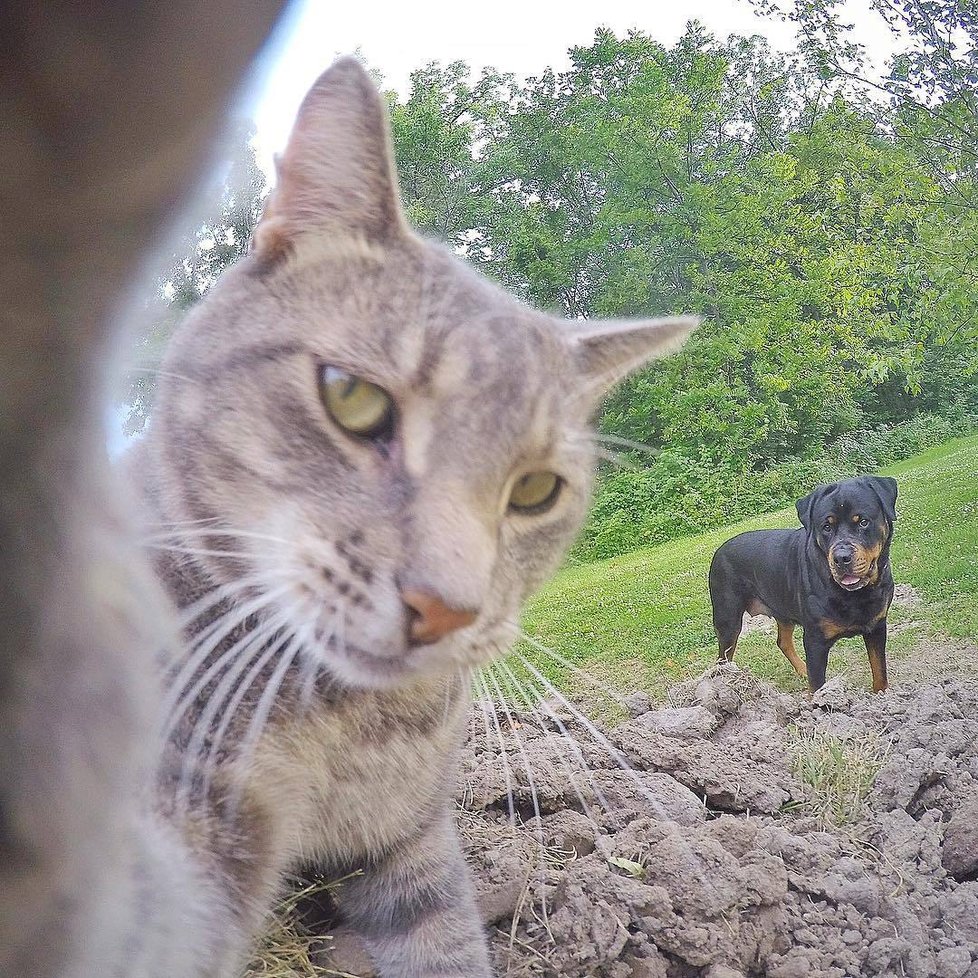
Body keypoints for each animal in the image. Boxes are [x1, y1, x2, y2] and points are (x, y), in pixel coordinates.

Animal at [704, 470, 896, 688]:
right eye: (826, 527)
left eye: (863, 522)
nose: (841, 557)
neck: (854, 595)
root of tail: (719, 550)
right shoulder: (815, 641)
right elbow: (817, 684)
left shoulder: (877, 627)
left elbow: (880, 672)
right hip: (728, 619)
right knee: (723, 657)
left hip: (782, 609)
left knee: (783, 642)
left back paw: (802, 669)